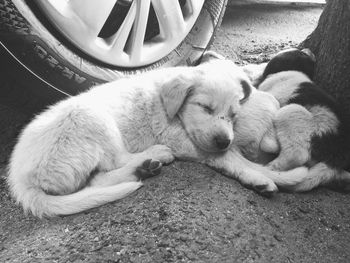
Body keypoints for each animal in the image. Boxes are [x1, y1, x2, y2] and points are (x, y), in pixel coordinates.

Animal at [242, 48, 350, 192]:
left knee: (297, 155)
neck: (292, 70)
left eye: (300, 53)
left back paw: (271, 168)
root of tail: (337, 156)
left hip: (291, 112)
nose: (308, 50)